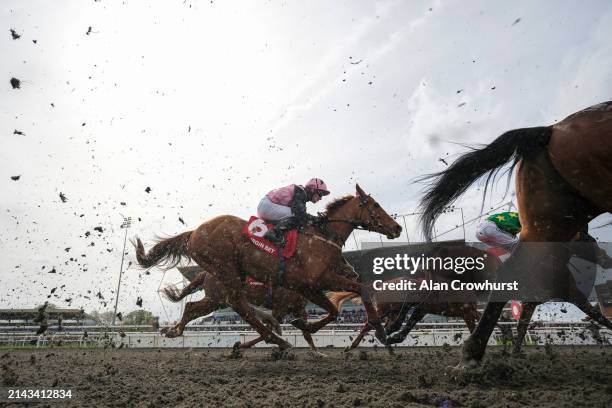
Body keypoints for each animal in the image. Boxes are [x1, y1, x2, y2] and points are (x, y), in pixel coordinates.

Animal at [134, 183, 402, 350]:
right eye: (375, 205)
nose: (397, 227)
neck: (322, 236)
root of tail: (194, 232)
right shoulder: (317, 281)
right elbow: (354, 294)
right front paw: (379, 330)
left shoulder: (307, 288)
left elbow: (340, 305)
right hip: (226, 271)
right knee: (243, 308)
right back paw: (276, 340)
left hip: (222, 288)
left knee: (195, 307)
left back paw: (174, 330)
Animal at [418, 101, 612, 366]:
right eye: (591, 241)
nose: (607, 259)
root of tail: (548, 131)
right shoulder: (570, 292)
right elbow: (598, 316)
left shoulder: (534, 298)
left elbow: (522, 324)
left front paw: (516, 352)